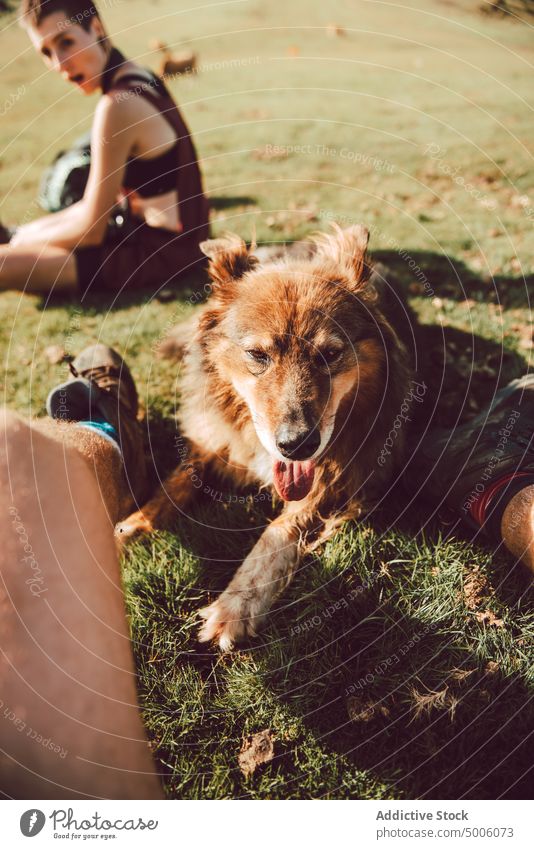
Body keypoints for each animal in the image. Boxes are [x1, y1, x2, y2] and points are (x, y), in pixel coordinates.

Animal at [120, 225, 414, 648]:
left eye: (330, 354)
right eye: (258, 355)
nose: (297, 445)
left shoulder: (342, 482)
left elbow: (277, 532)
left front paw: (236, 606)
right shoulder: (213, 441)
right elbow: (168, 491)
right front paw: (124, 531)